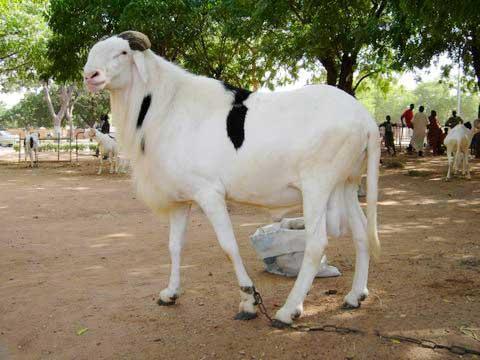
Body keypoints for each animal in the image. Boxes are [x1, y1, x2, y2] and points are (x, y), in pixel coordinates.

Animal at [84, 31, 380, 328]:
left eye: (122, 52)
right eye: (95, 51)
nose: (90, 75)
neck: (167, 106)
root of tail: (365, 119)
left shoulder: (209, 193)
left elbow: (229, 246)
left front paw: (249, 300)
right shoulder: (182, 199)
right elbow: (174, 245)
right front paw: (170, 293)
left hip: (317, 184)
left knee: (316, 244)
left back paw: (288, 311)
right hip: (347, 182)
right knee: (362, 232)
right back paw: (355, 295)